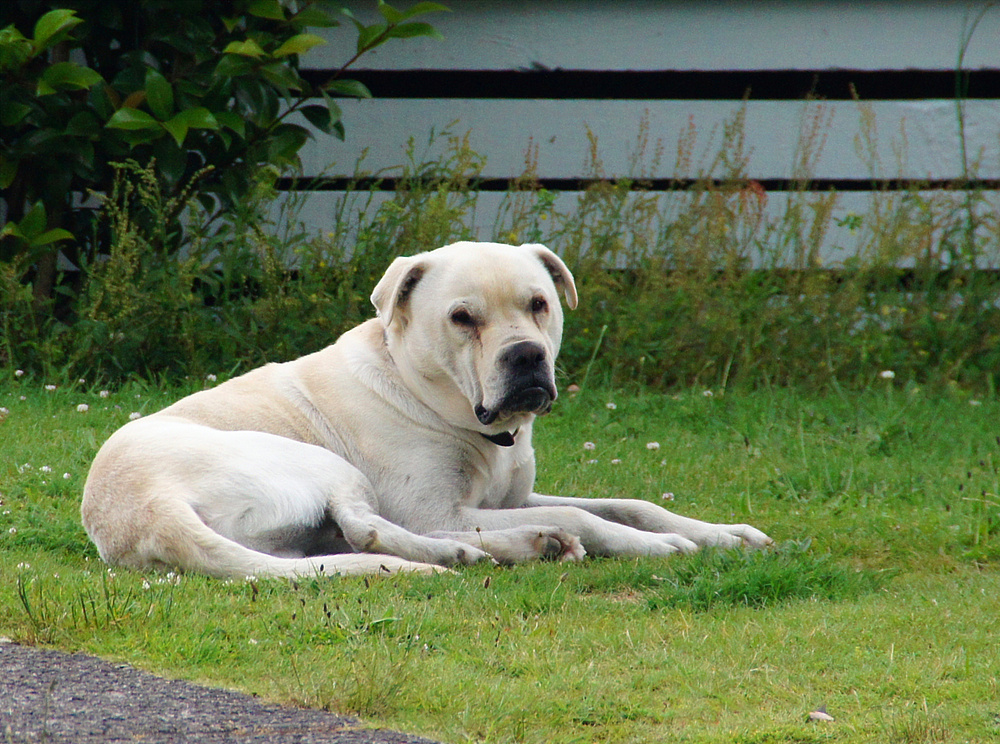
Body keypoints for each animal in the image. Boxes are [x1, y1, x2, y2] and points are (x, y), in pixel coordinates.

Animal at [84, 241, 772, 580]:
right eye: (463, 318)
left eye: (540, 303)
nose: (526, 357)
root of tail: (147, 511)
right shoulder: (438, 507)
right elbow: (586, 514)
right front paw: (661, 547)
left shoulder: (513, 496)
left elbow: (631, 503)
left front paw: (722, 534)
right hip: (316, 463)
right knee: (370, 527)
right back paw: (499, 551)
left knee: (348, 540)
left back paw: (527, 545)